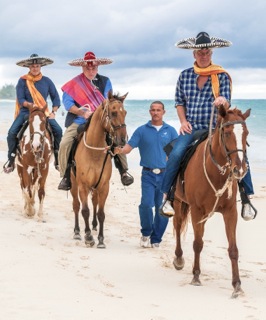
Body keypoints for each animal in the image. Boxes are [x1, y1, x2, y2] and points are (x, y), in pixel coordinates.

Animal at [69, 91, 128, 249]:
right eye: (113, 113)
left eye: (125, 113)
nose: (123, 140)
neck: (94, 152)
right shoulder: (82, 185)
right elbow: (85, 210)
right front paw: (89, 237)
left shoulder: (103, 186)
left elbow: (101, 213)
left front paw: (101, 239)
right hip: (73, 184)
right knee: (76, 206)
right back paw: (77, 231)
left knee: (94, 202)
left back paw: (94, 226)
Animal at [172, 105, 251, 298]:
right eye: (227, 133)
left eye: (246, 133)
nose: (240, 169)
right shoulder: (196, 210)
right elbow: (198, 243)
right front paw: (196, 276)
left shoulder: (230, 212)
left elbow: (233, 249)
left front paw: (237, 285)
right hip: (178, 201)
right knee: (177, 224)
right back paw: (178, 258)